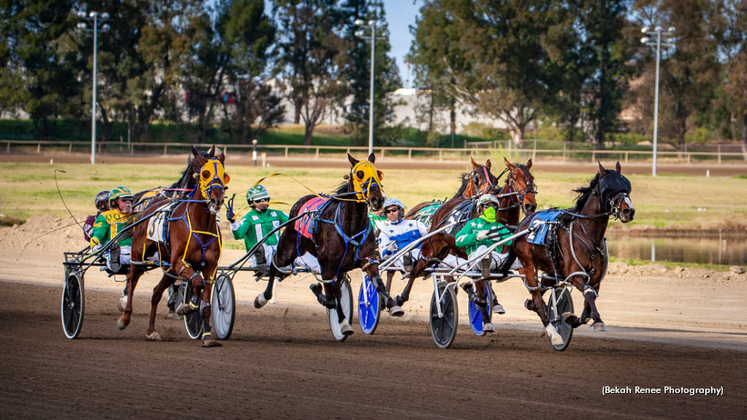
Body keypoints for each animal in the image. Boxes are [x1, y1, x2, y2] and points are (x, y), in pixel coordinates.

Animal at [115, 146, 228, 346]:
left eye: (223, 174)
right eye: (204, 173)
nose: (217, 200)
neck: (200, 225)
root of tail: (149, 206)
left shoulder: (209, 267)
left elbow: (206, 302)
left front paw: (207, 337)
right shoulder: (179, 262)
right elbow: (196, 282)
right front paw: (189, 306)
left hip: (169, 268)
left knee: (156, 292)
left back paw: (151, 331)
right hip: (140, 255)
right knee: (132, 277)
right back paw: (125, 318)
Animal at [251, 151, 404, 334]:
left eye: (378, 173)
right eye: (360, 174)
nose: (377, 200)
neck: (349, 227)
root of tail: (302, 200)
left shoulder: (367, 260)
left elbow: (378, 284)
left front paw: (394, 305)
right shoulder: (327, 265)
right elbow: (331, 299)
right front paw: (343, 322)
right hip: (289, 247)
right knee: (275, 264)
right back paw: (262, 298)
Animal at [392, 156, 536, 310]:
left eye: (532, 178)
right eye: (514, 178)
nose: (530, 205)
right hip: (431, 250)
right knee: (416, 269)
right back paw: (401, 298)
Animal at [516, 161, 636, 344]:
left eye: (626, 186)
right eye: (609, 187)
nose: (628, 211)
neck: (588, 235)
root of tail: (523, 223)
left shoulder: (595, 279)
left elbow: (587, 306)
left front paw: (570, 318)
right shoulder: (575, 274)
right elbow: (589, 295)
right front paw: (598, 321)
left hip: (550, 270)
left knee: (539, 293)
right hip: (529, 266)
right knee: (537, 298)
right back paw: (554, 334)